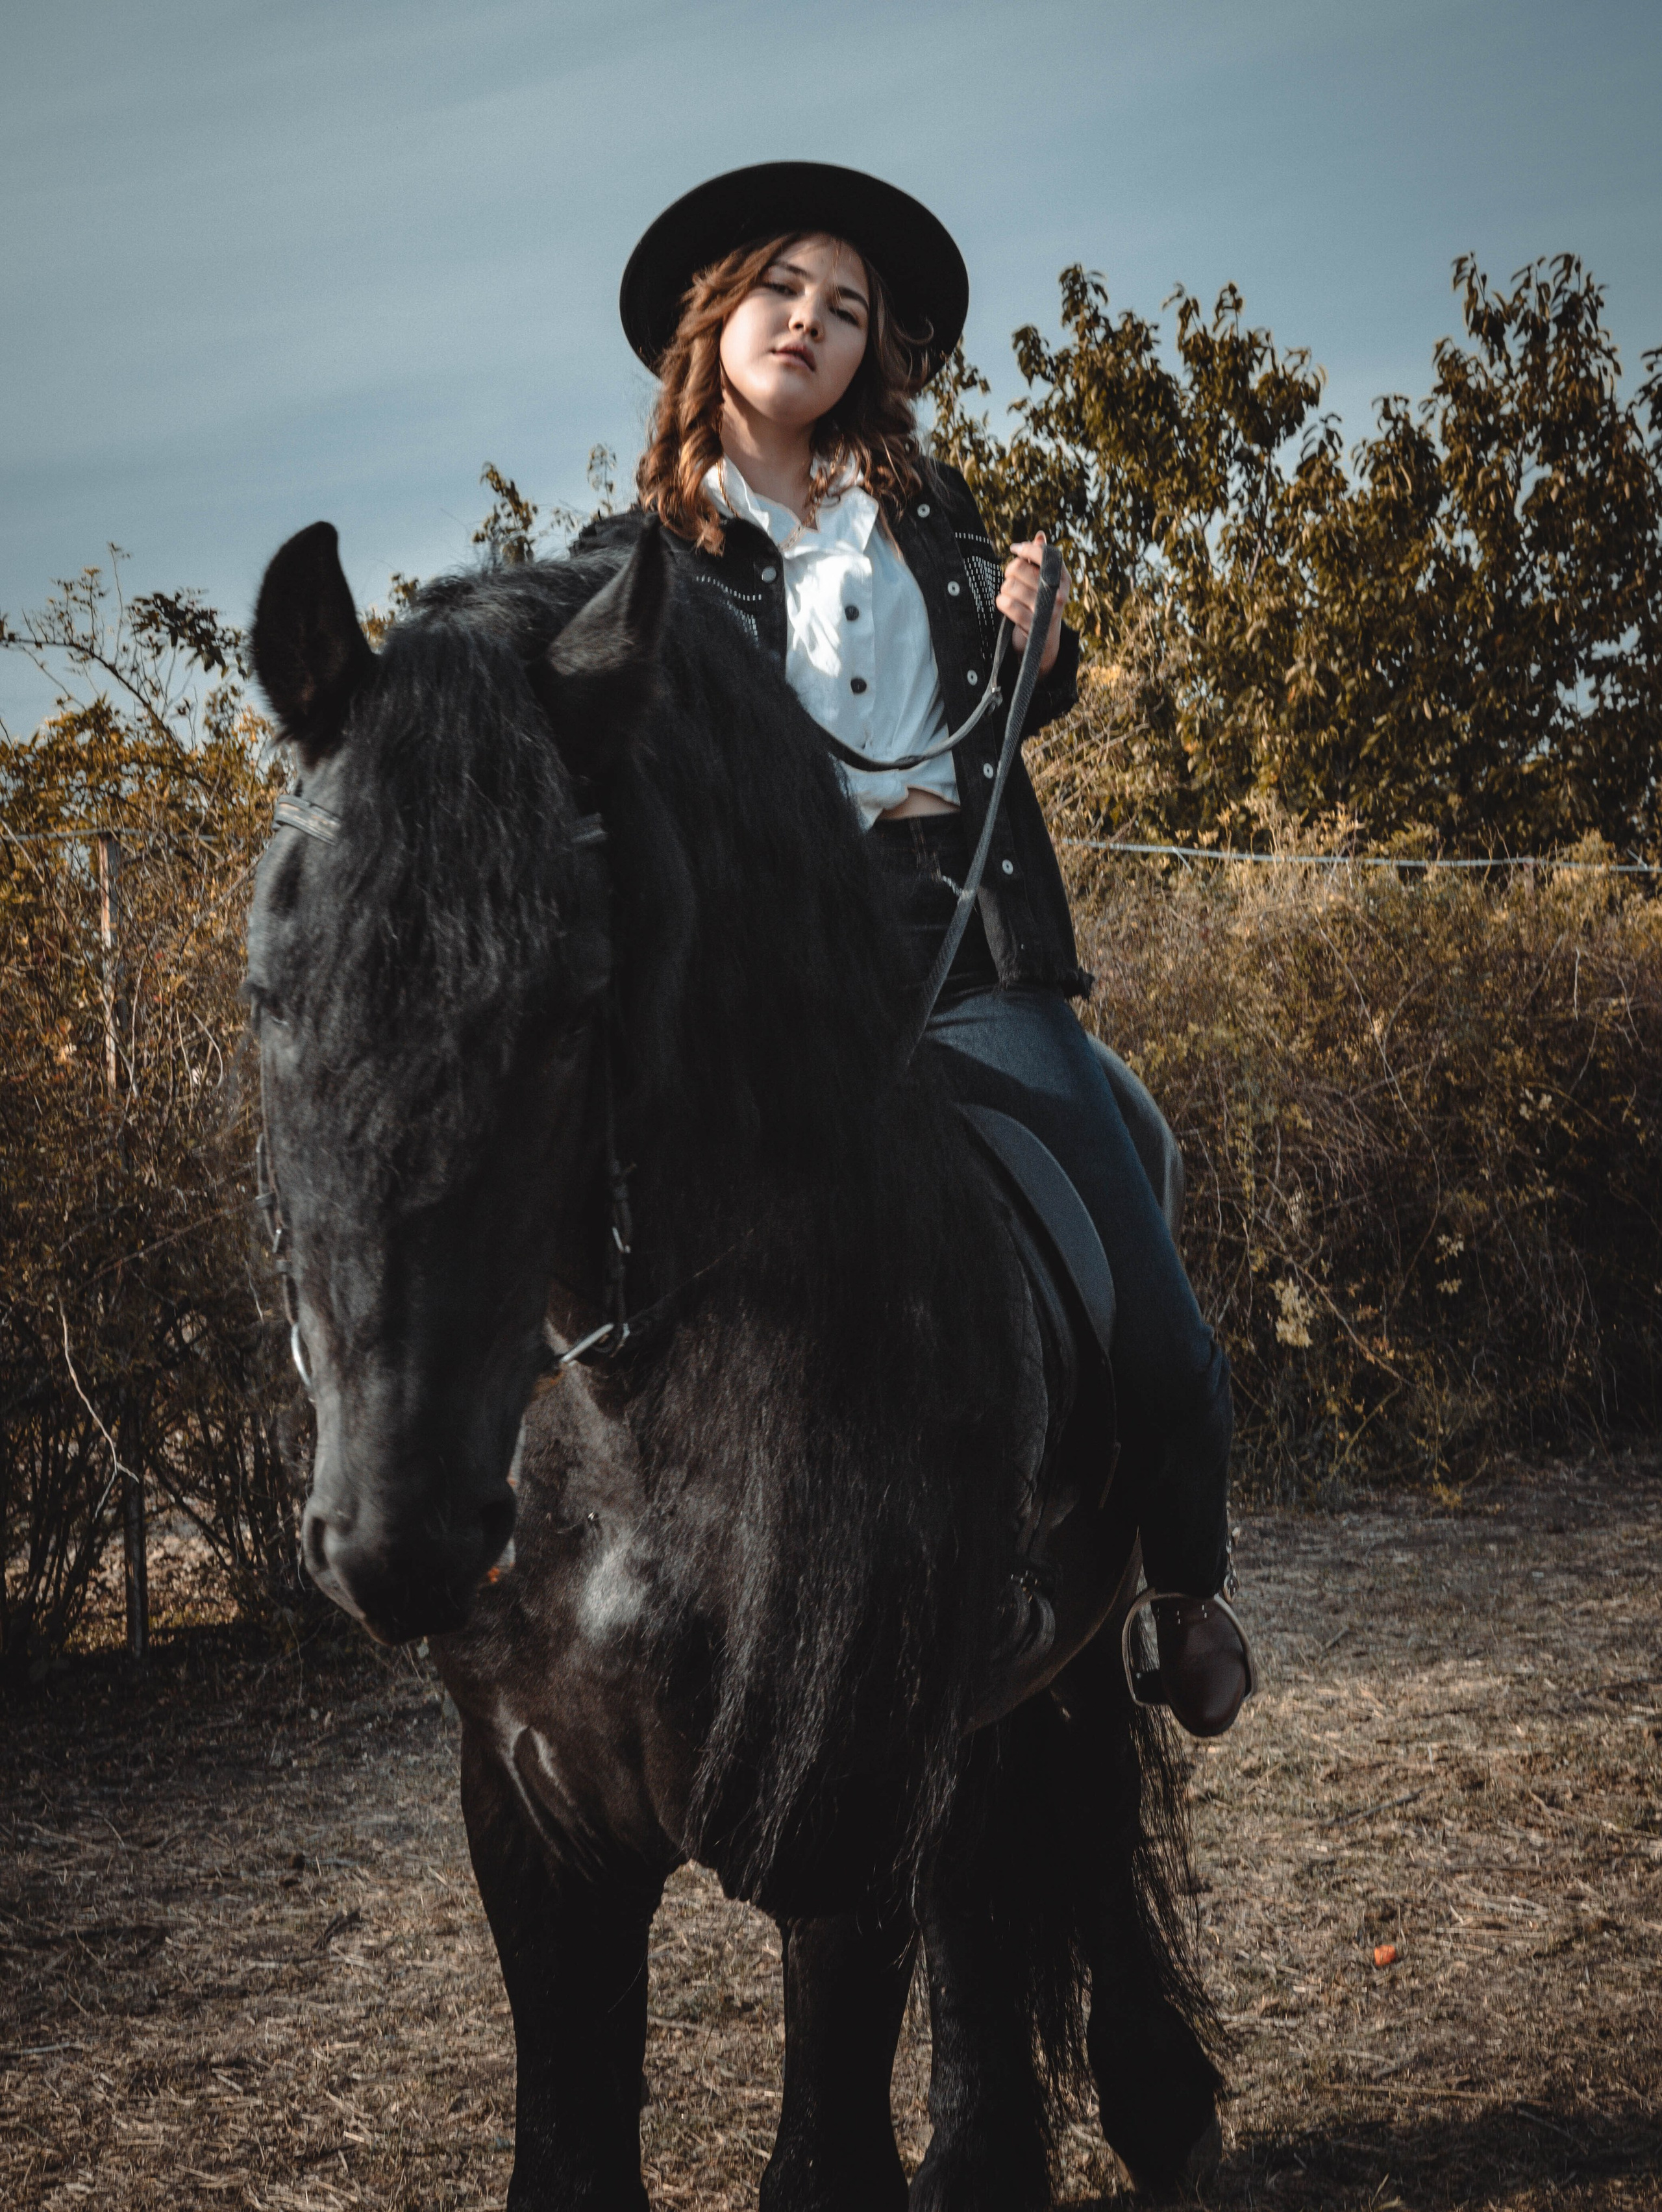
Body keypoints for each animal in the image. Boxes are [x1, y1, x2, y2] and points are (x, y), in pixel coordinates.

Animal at [245, 516, 1224, 2208]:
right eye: (270, 989)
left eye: (575, 996)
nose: (395, 1536)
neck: (635, 1415)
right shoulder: (538, 1822)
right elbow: (571, 2152)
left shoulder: (841, 1811)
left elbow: (826, 2148)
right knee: (989, 1869)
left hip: (1073, 1647)